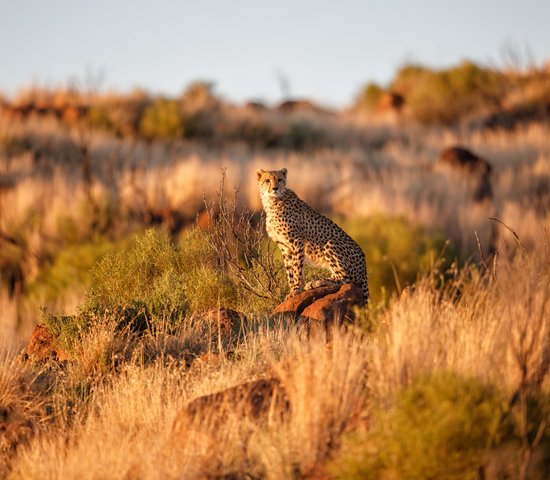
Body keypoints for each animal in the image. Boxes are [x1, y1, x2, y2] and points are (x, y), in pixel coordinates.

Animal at [258, 168, 370, 300]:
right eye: (267, 180)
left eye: (280, 179)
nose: (275, 188)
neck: (272, 201)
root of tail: (364, 266)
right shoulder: (285, 246)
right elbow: (290, 271)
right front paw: (292, 289)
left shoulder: (296, 242)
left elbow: (297, 267)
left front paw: (296, 289)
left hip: (331, 243)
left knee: (347, 279)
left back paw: (317, 282)